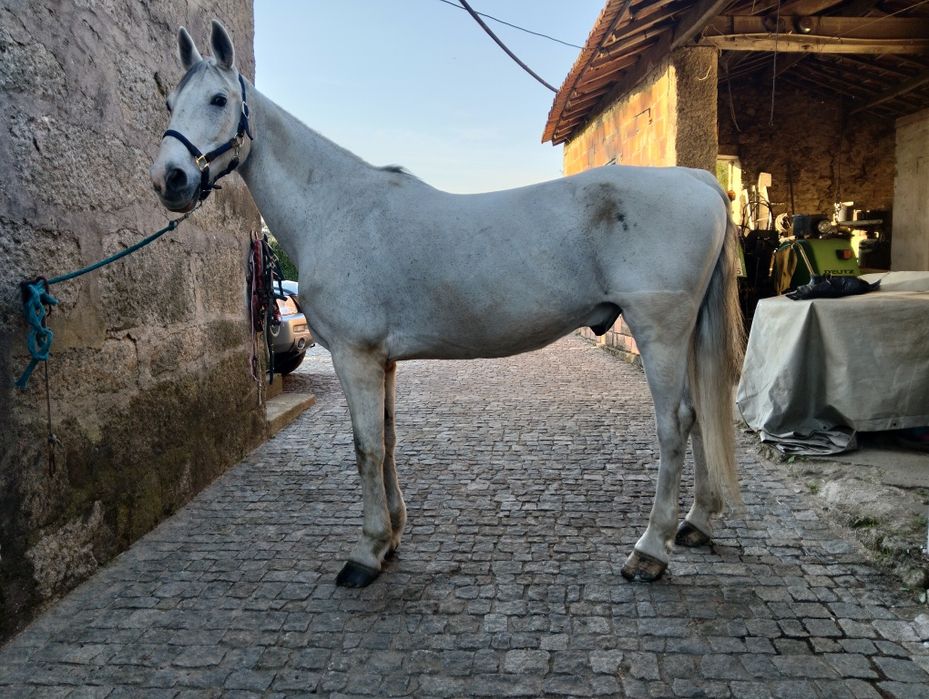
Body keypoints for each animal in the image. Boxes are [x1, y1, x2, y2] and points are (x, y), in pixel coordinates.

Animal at [150, 21, 744, 588]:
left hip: (659, 332)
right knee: (699, 415)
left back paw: (649, 552)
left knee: (675, 424)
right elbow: (388, 440)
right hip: (684, 333)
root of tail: (698, 180)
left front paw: (365, 554)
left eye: (219, 99)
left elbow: (365, 448)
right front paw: (391, 536)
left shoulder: (354, 355)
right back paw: (695, 523)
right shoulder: (382, 360)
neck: (335, 209)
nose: (170, 179)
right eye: (169, 102)